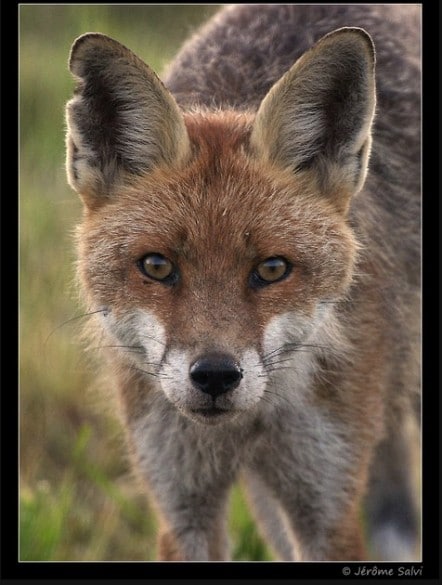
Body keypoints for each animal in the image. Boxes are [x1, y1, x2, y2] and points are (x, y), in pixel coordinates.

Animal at [65, 5, 422, 560]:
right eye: (157, 266)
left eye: (272, 269)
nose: (214, 376)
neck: (247, 426)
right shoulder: (181, 504)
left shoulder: (327, 504)